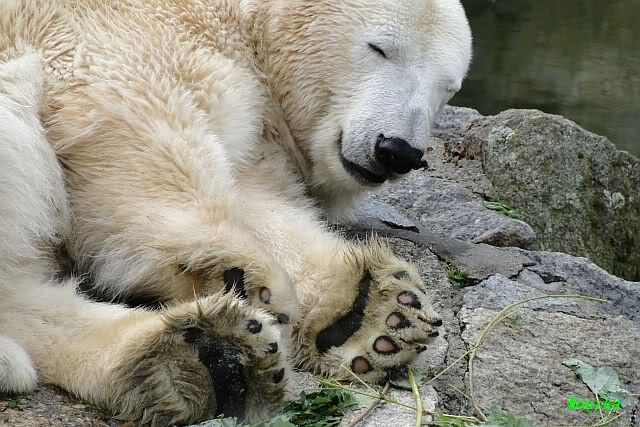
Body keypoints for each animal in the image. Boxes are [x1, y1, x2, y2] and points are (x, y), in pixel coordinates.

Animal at [0, 0, 472, 424]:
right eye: (380, 48)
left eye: (446, 87)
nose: (397, 150)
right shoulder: (95, 33)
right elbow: (132, 108)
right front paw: (238, 268)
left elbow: (258, 195)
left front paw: (371, 314)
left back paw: (199, 357)